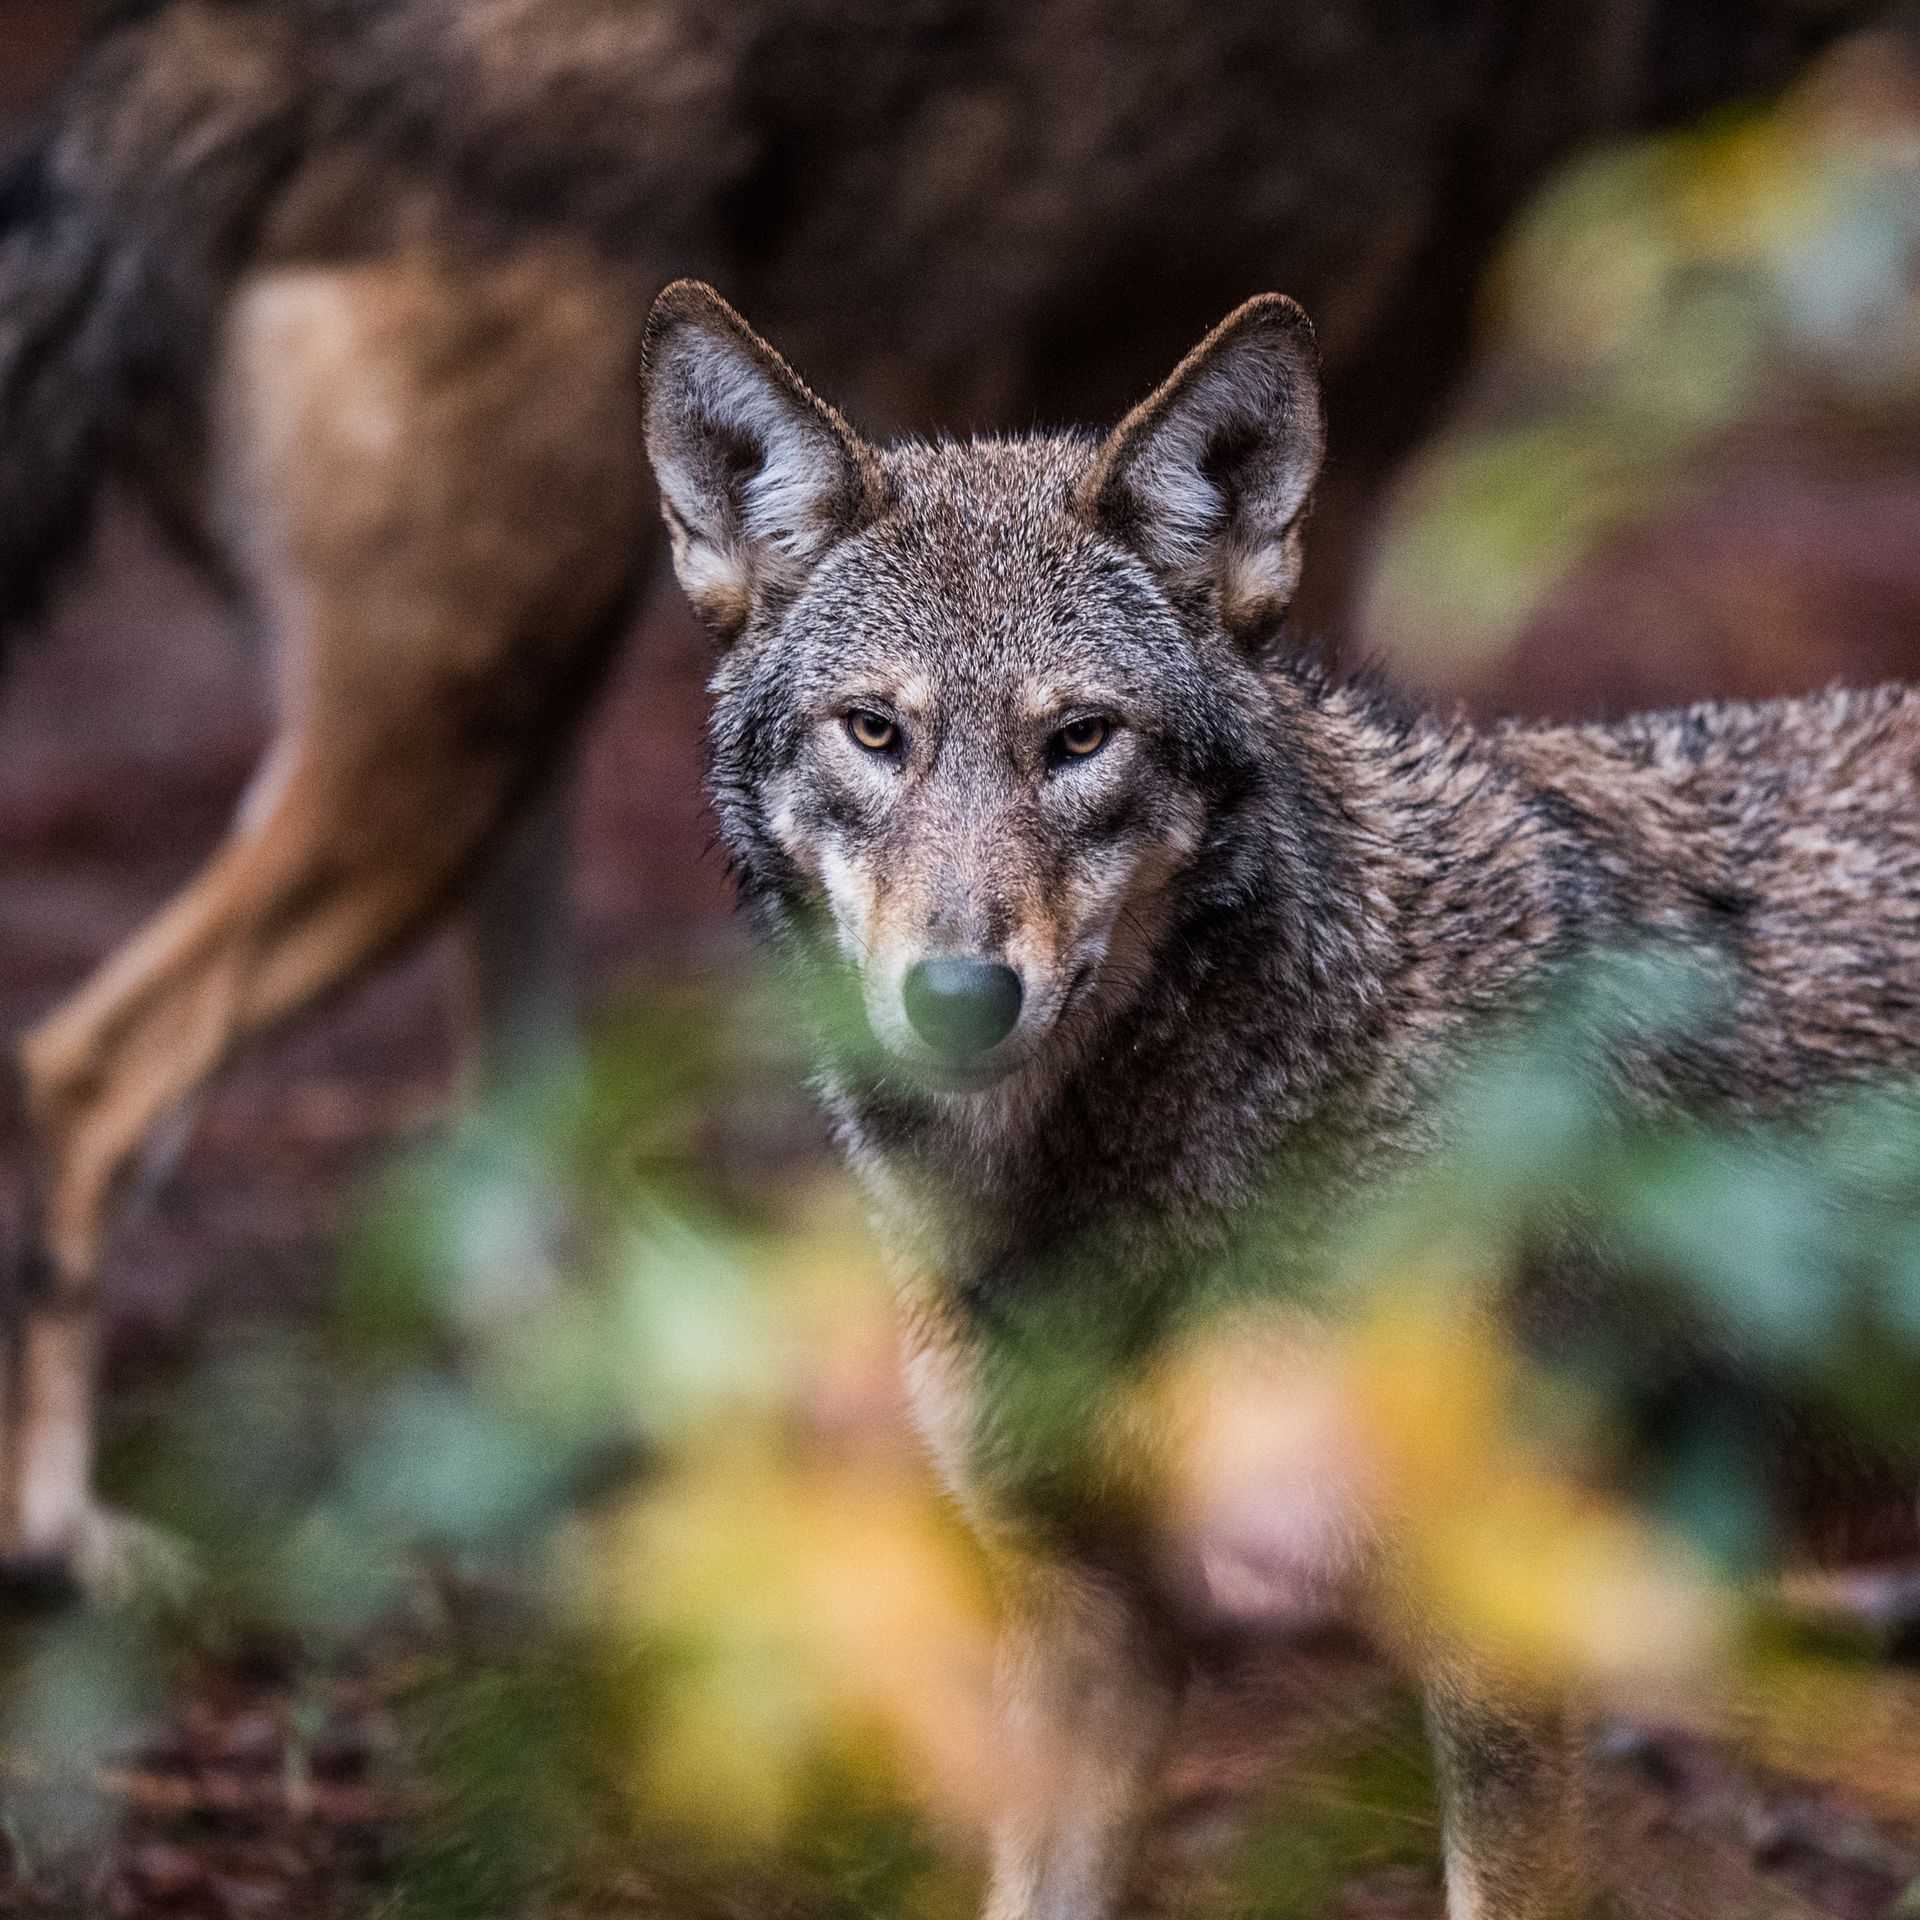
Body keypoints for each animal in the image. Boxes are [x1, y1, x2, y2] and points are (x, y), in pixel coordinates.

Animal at [0, 0, 1881, 1589]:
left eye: (1082, 742)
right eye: (877, 734)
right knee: (83, 1070)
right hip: (458, 733)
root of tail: (212, 45)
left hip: (505, 727)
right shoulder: (1372, 424)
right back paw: (68, 1533)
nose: (965, 1001)